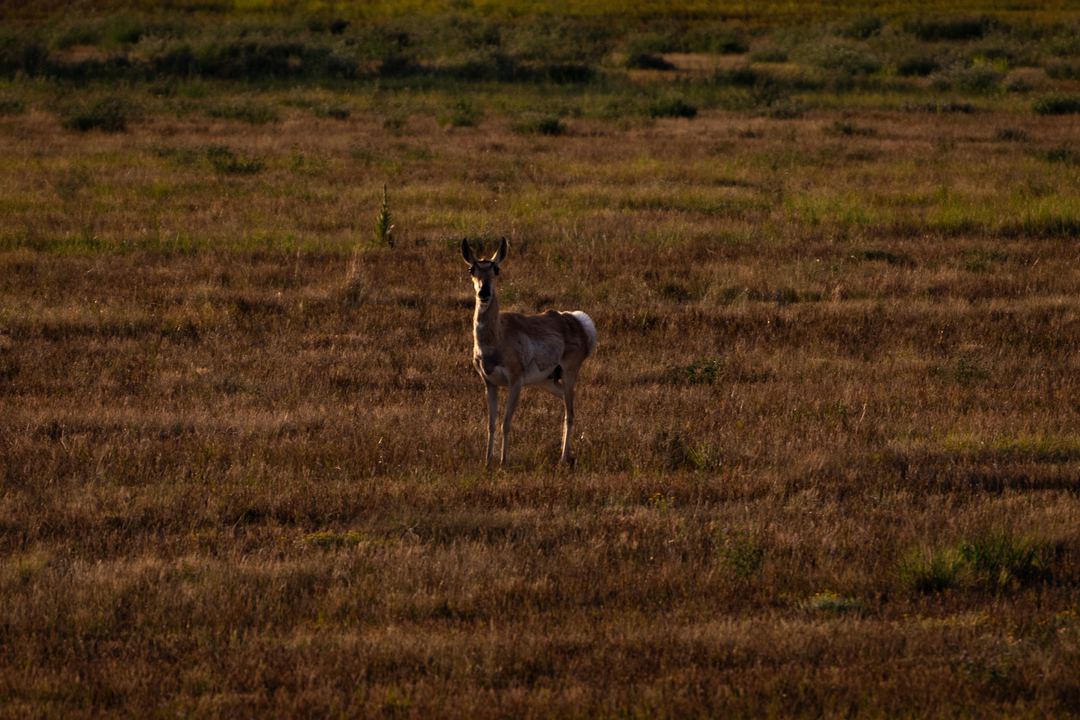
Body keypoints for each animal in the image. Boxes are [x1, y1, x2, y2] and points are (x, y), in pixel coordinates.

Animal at [461, 238, 597, 467]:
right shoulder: (489, 383)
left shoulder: (516, 382)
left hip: (569, 374)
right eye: (472, 269)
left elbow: (506, 422)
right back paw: (568, 454)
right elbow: (490, 423)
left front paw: (503, 461)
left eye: (496, 268)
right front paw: (487, 461)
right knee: (568, 402)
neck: (497, 337)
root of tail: (576, 320)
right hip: (547, 381)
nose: (484, 293)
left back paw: (563, 458)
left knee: (570, 413)